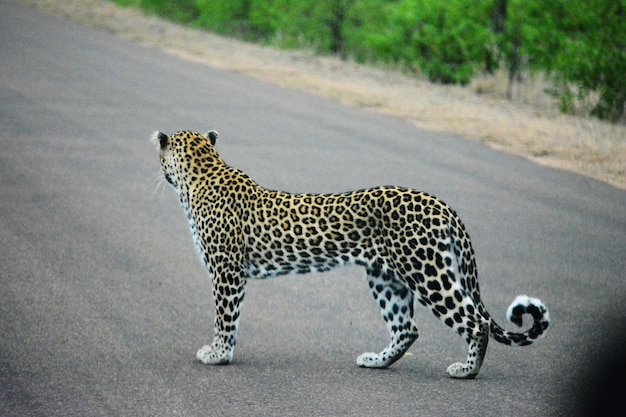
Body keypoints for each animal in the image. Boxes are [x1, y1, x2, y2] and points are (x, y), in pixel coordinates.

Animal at [151, 129, 544, 376]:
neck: (203, 171)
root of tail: (443, 204)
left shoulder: (227, 270)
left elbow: (225, 317)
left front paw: (218, 354)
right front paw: (220, 353)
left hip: (426, 271)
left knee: (475, 321)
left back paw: (466, 370)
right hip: (385, 276)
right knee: (407, 328)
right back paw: (377, 361)